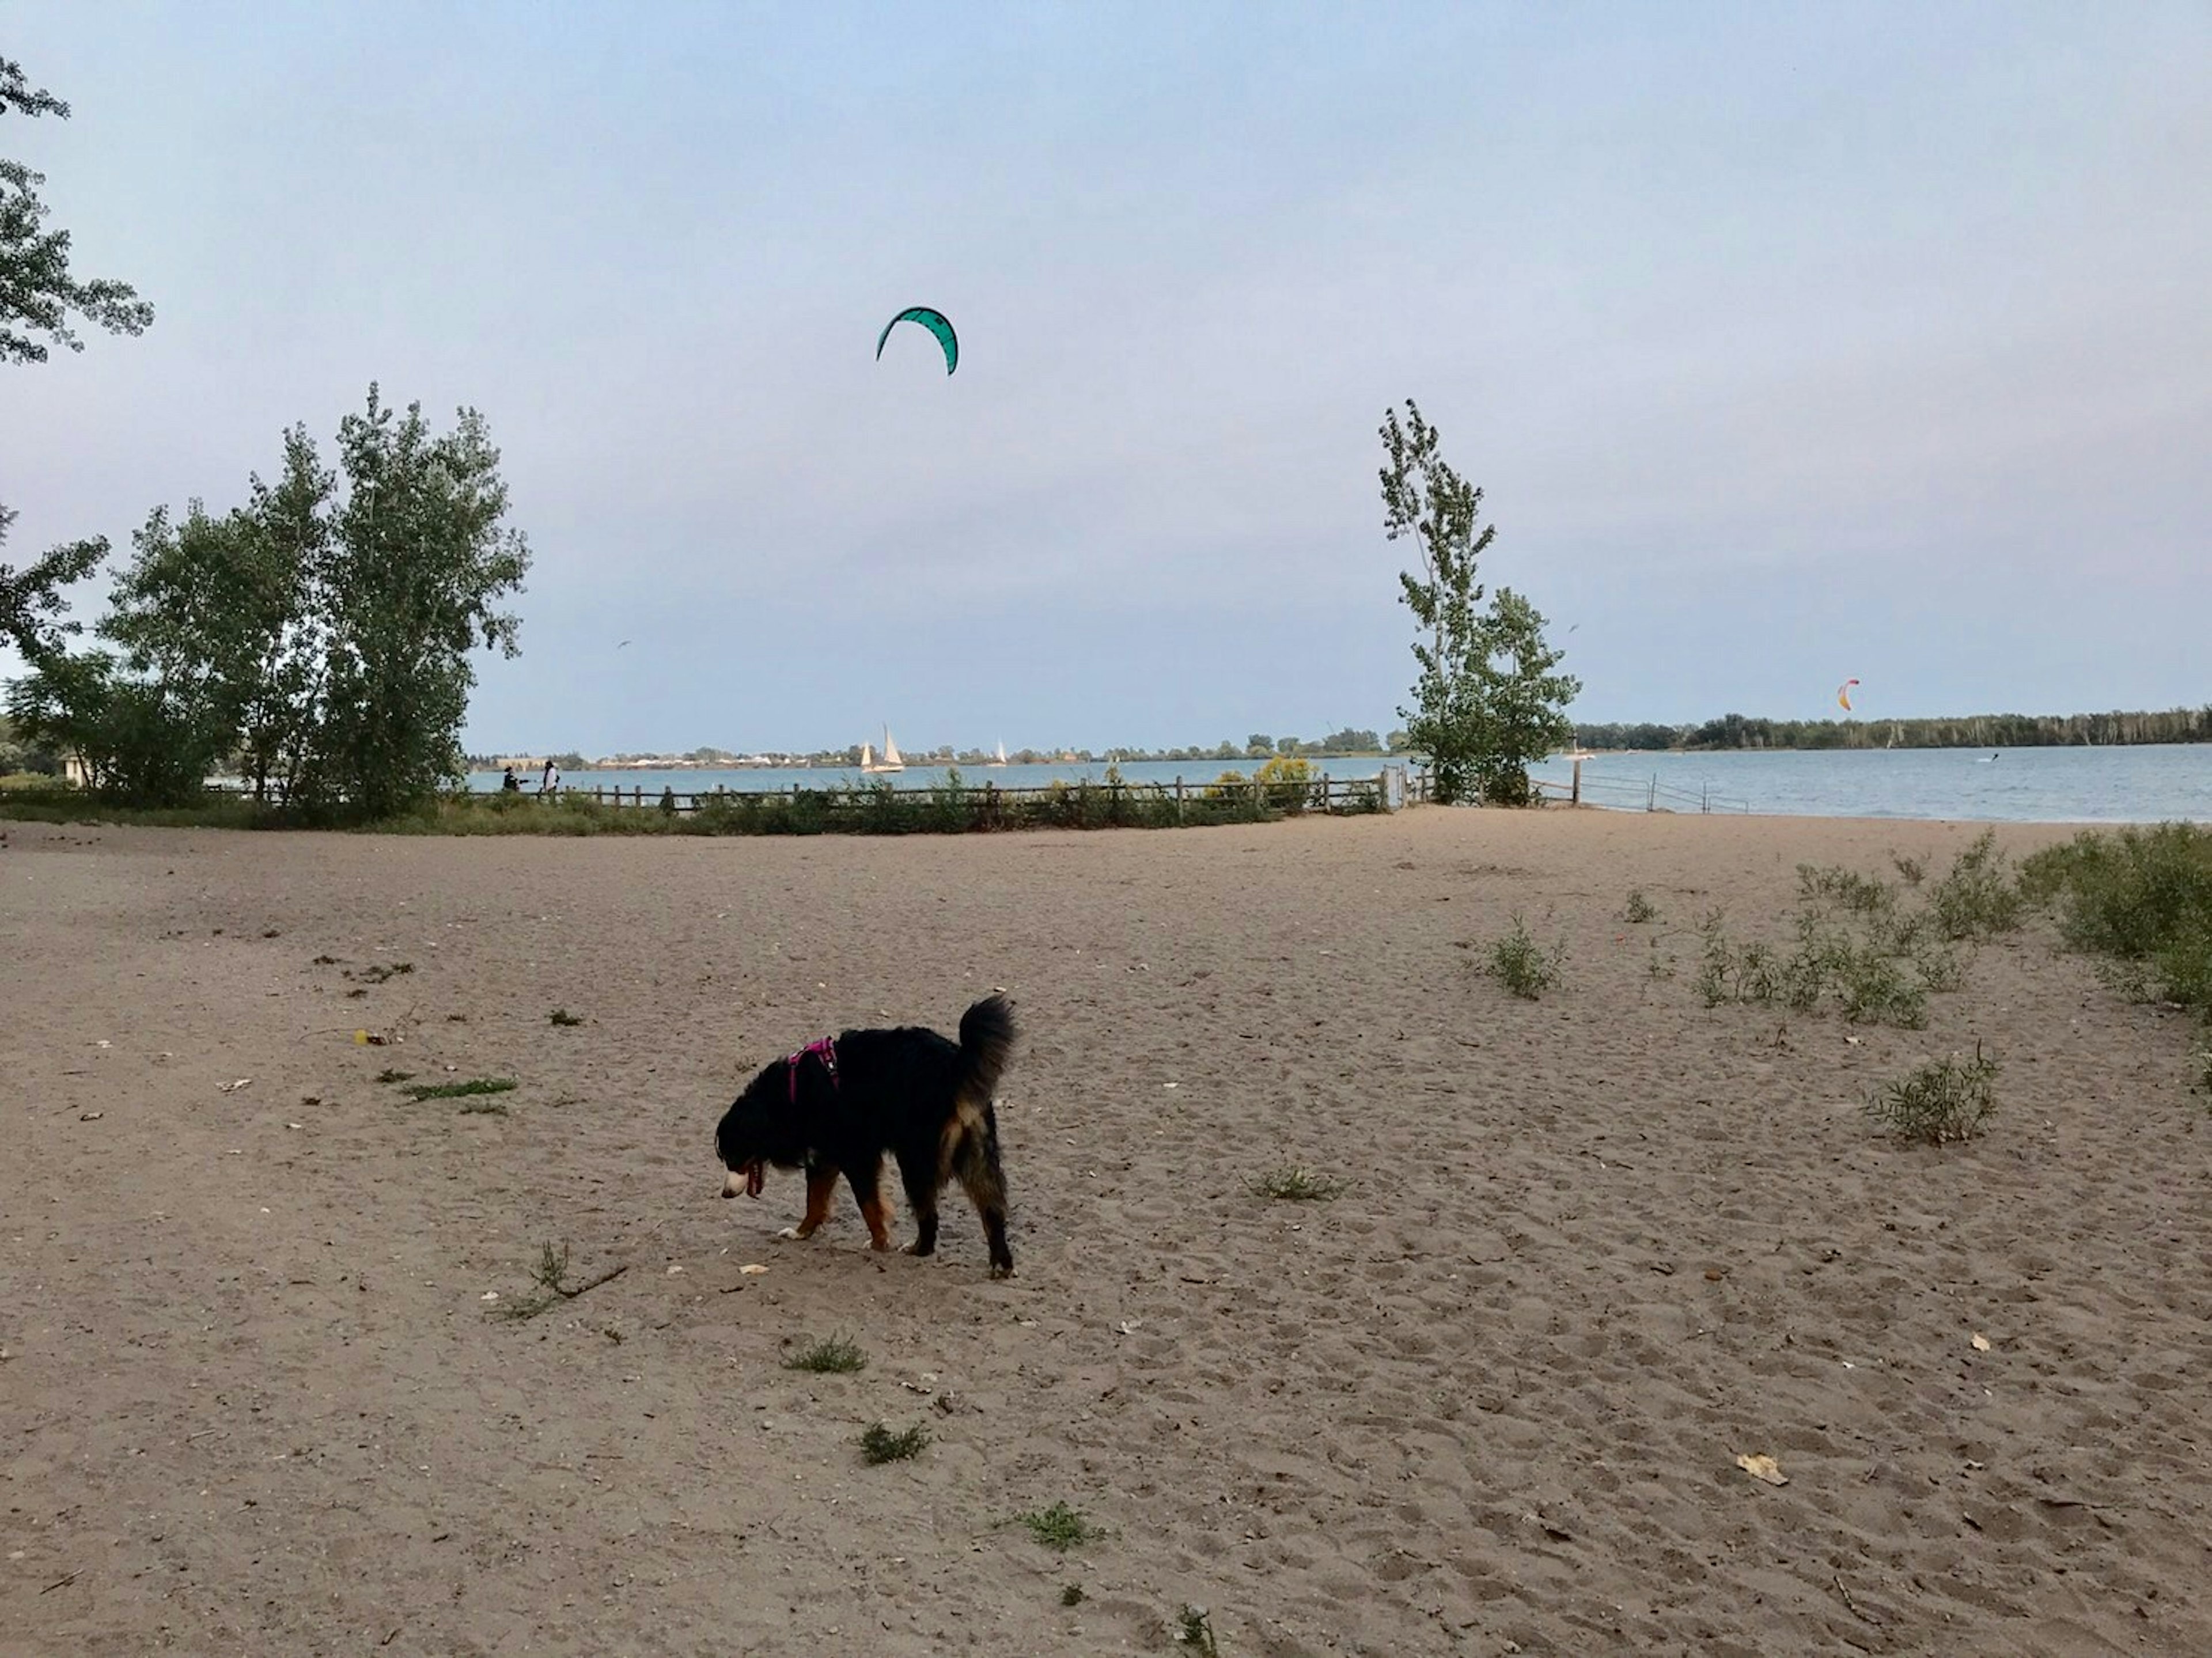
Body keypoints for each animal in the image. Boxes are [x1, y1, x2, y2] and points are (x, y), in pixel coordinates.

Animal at [717, 995, 1017, 1282]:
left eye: (733, 1156)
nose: (725, 1194)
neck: (791, 1094)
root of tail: (954, 1063)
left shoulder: (857, 1156)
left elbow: (869, 1206)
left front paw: (879, 1243)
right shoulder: (824, 1156)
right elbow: (815, 1202)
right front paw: (802, 1233)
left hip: (915, 1158)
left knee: (929, 1214)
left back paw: (919, 1248)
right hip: (977, 1154)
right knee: (991, 1210)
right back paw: (1001, 1263)